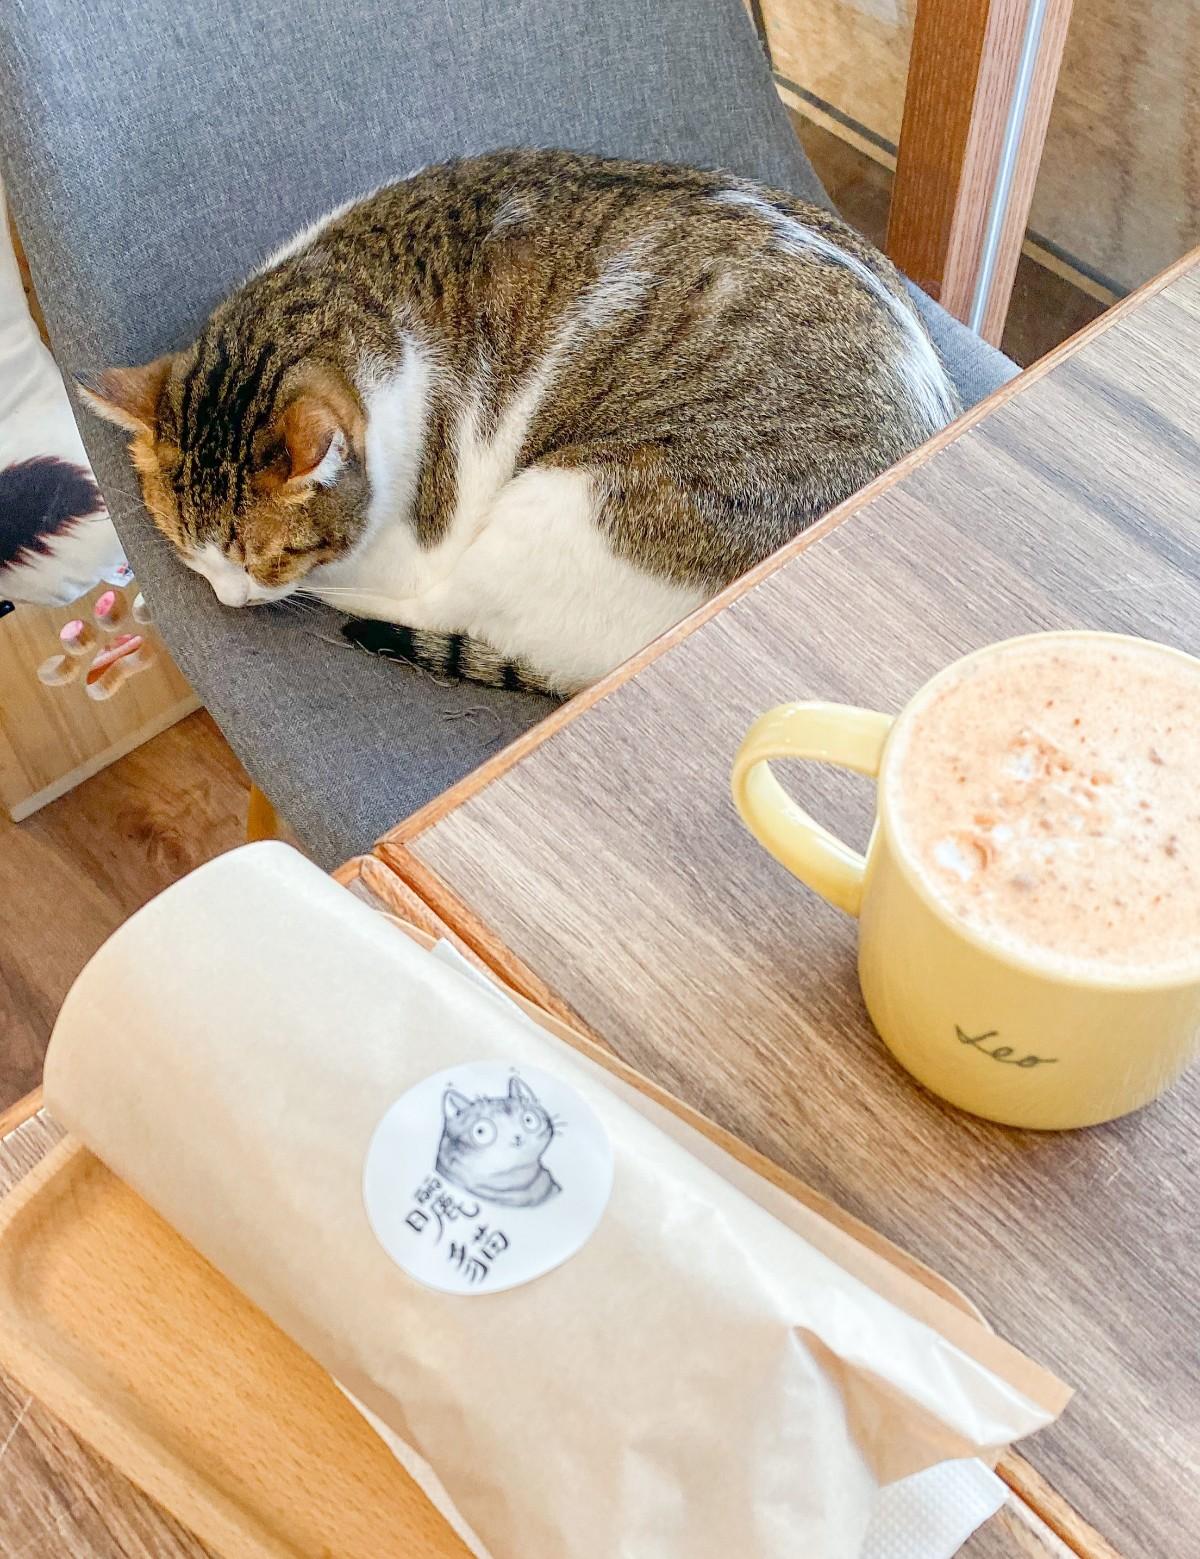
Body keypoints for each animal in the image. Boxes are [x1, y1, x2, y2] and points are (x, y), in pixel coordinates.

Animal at [81, 148, 959, 695]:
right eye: (187, 554)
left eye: (268, 557)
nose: (233, 601)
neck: (357, 290)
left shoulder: (413, 538)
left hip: (577, 502)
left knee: (444, 607)